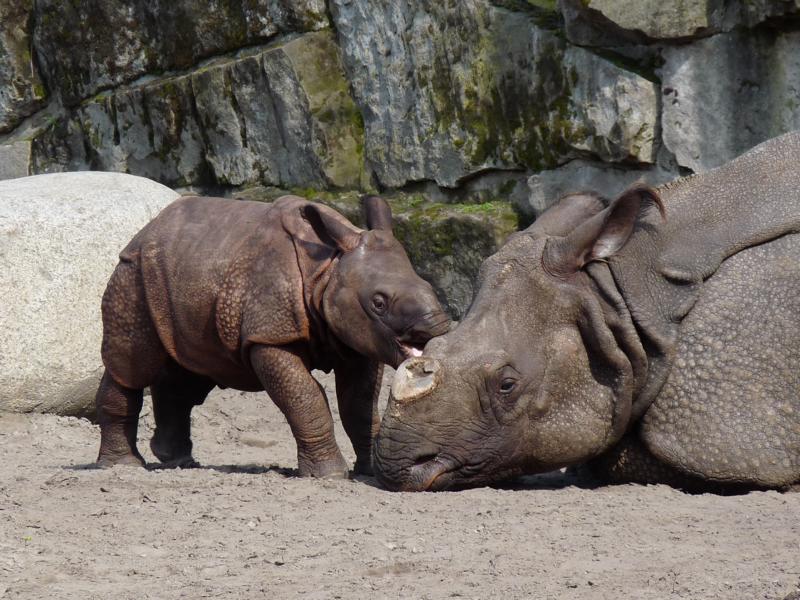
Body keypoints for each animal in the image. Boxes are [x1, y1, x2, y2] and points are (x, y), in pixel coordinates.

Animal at [95, 194, 449, 478]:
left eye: (430, 287)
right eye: (378, 302)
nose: (438, 331)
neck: (328, 269)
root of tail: (145, 230)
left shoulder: (357, 338)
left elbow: (358, 406)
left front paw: (371, 472)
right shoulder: (269, 336)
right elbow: (306, 397)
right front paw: (329, 476)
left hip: (186, 277)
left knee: (189, 370)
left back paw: (177, 461)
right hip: (134, 275)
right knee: (134, 366)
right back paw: (123, 466)